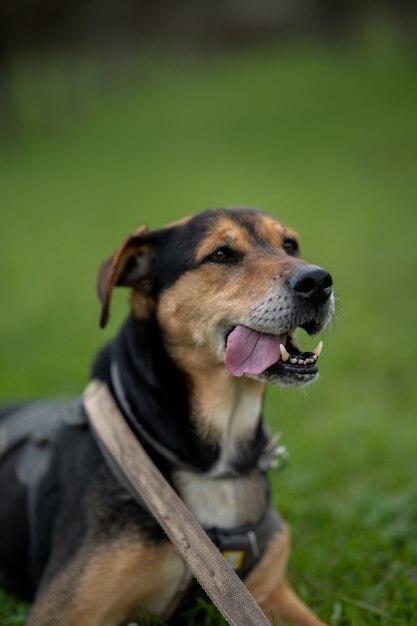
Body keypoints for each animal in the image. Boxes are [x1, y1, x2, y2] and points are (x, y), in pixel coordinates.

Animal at [0, 207, 332, 620]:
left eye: (290, 245)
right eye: (221, 254)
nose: (319, 281)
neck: (215, 463)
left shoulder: (271, 593)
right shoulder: (65, 611)